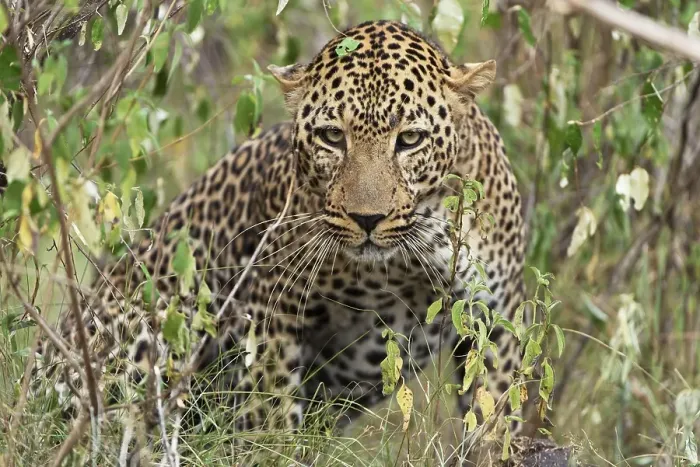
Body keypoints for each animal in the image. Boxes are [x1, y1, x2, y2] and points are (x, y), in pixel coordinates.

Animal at [28, 19, 526, 462]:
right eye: (332, 136)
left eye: (409, 140)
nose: (367, 219)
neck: (398, 264)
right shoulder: (274, 311)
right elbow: (270, 419)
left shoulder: (494, 318)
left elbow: (493, 420)